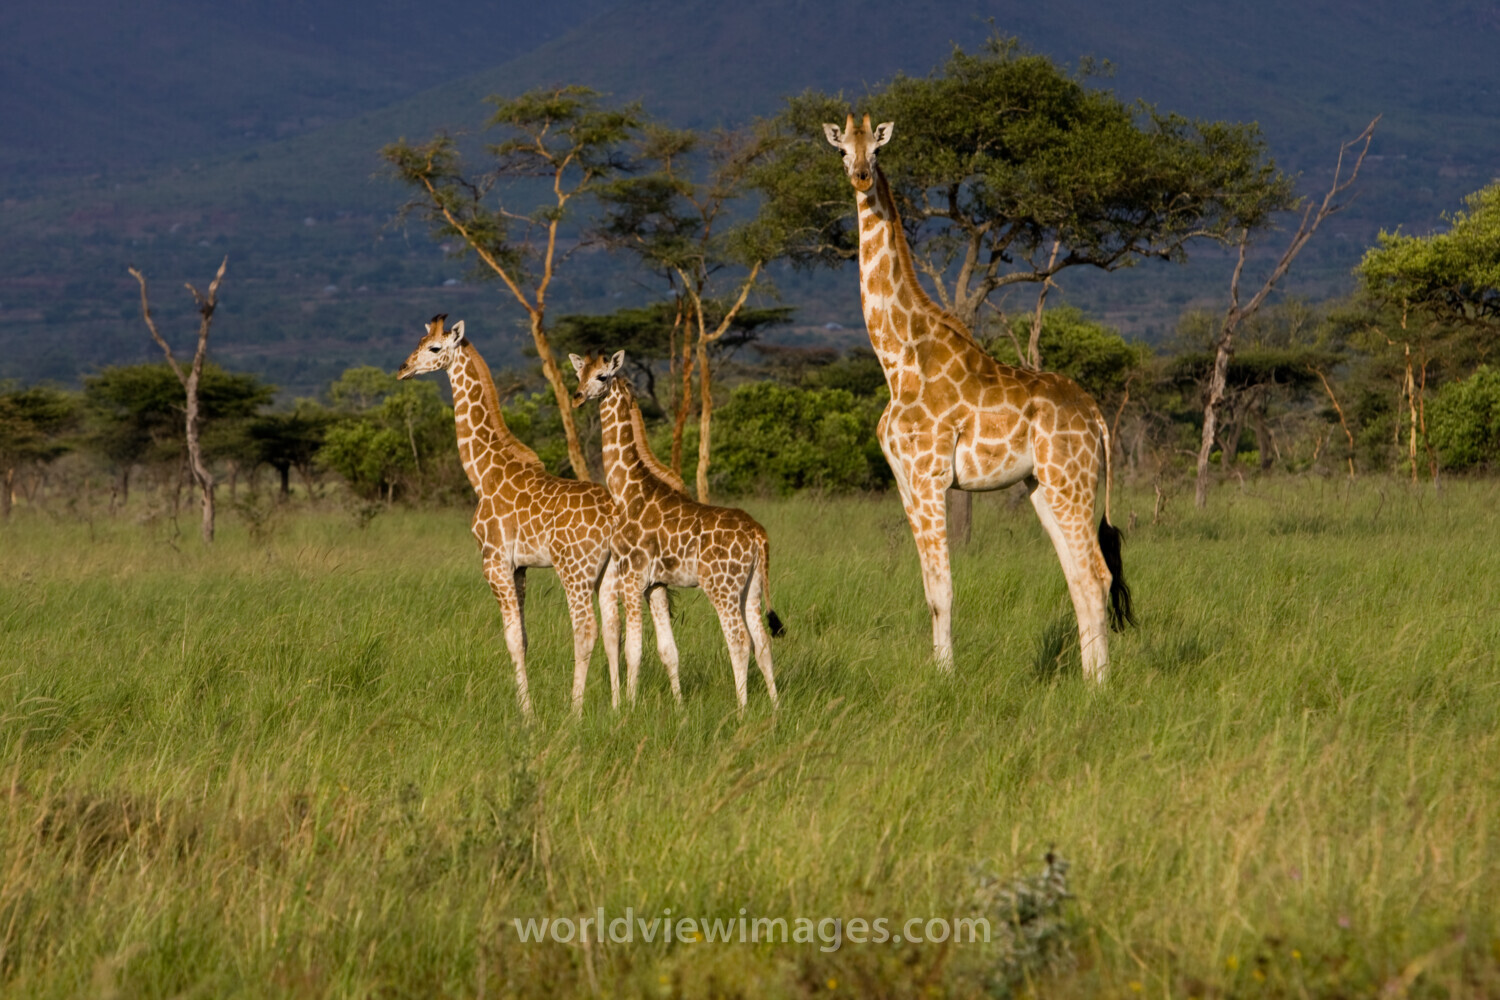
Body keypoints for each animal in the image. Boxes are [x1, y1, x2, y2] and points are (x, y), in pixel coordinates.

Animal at [397, 315, 627, 717]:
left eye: (434, 348)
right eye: (420, 342)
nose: (404, 369)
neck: (482, 473)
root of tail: (613, 517)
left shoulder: (494, 561)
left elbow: (512, 639)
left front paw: (527, 714)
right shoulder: (519, 567)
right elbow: (525, 637)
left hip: (575, 571)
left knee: (586, 631)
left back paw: (574, 712)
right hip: (608, 571)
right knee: (613, 629)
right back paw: (616, 709)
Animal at [570, 351, 782, 709]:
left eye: (602, 376)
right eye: (578, 373)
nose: (577, 396)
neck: (627, 490)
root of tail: (758, 535)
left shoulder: (632, 576)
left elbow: (633, 649)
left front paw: (629, 708)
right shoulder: (655, 584)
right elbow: (668, 650)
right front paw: (679, 706)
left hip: (721, 586)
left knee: (740, 641)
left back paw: (742, 710)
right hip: (751, 587)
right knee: (763, 642)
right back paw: (776, 708)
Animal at [823, 114, 1134, 682]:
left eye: (876, 151)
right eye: (841, 152)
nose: (859, 176)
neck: (898, 360)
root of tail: (1096, 414)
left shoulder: (929, 476)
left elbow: (943, 590)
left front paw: (945, 678)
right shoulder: (905, 483)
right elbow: (929, 588)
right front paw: (938, 670)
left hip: (1071, 480)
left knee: (1097, 575)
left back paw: (1100, 684)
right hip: (1042, 486)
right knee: (1079, 578)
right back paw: (1086, 680)